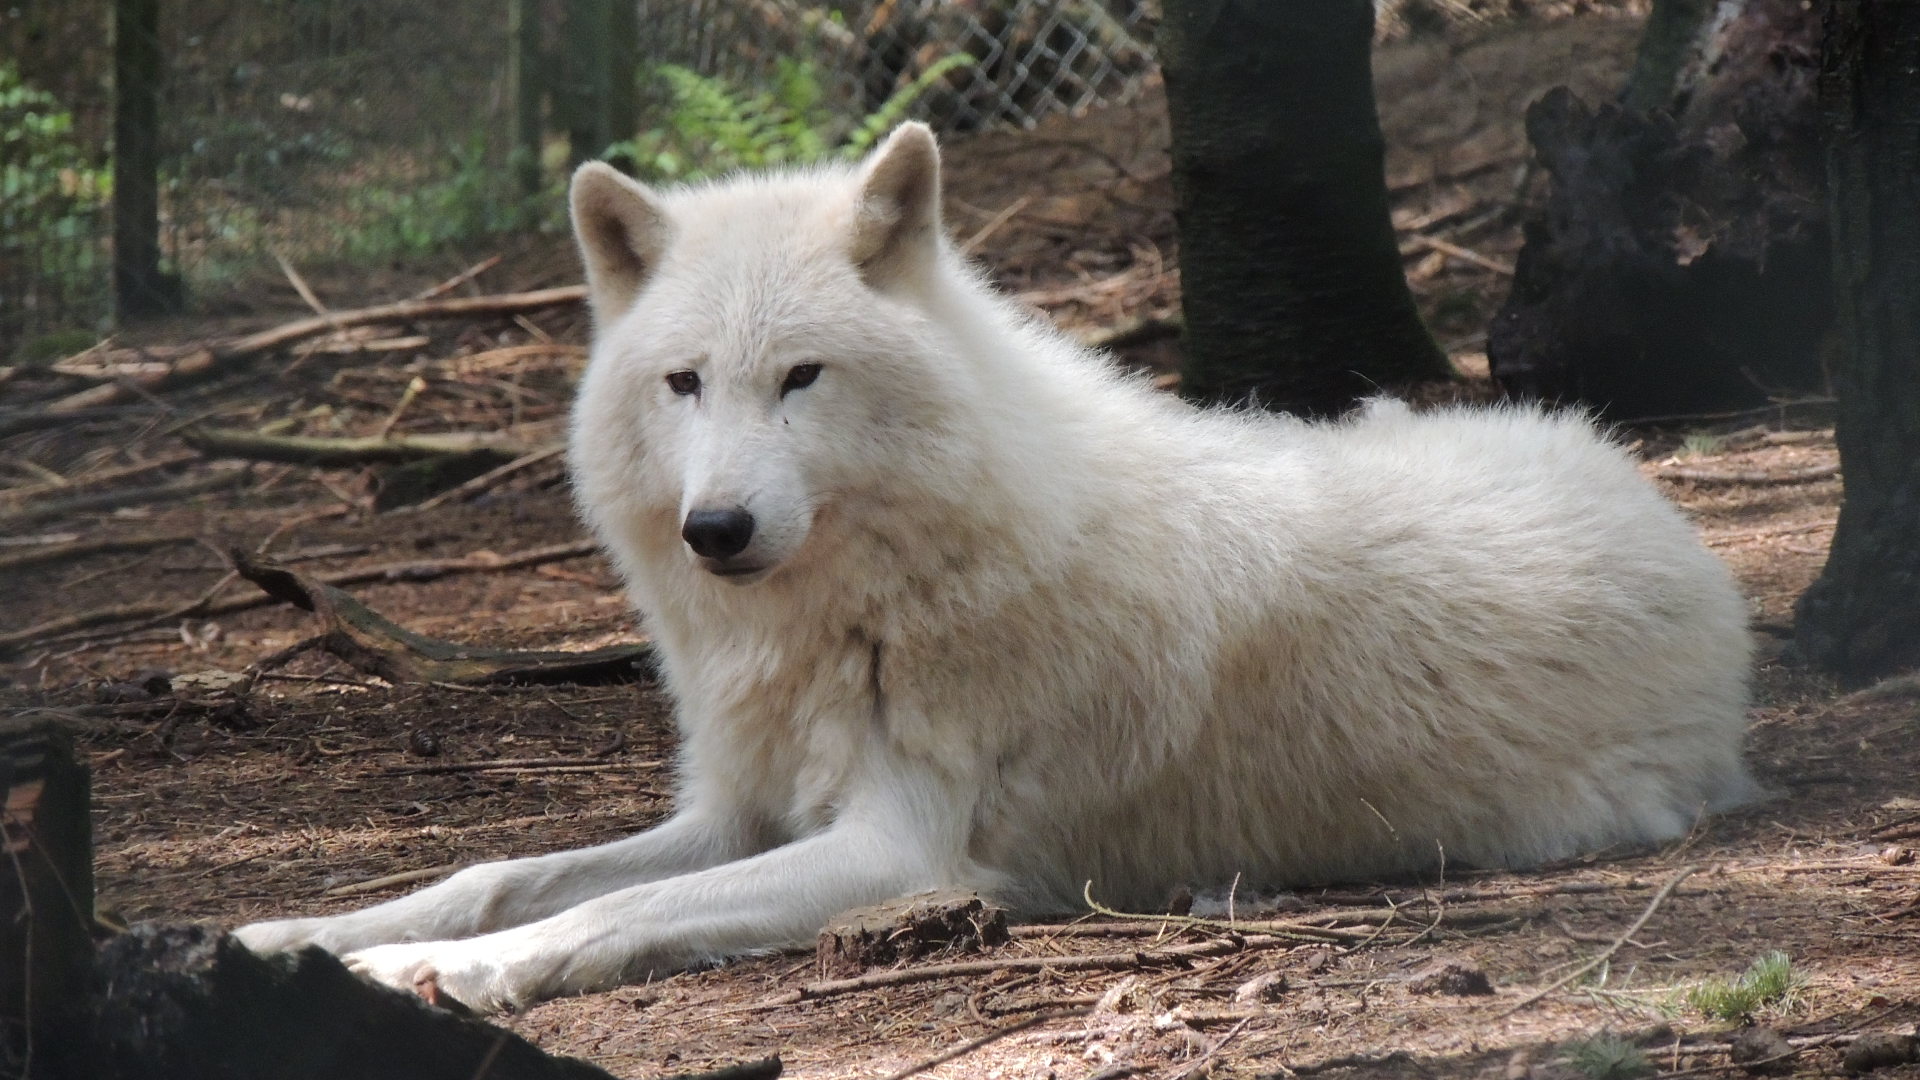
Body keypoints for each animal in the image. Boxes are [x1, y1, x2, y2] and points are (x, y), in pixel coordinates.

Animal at [236, 122, 1758, 1006]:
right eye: (684, 383)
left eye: (801, 378)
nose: (714, 530)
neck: (865, 606)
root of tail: (1645, 491)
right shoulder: (739, 813)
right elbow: (505, 871)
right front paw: (297, 935)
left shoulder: (897, 847)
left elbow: (624, 907)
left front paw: (433, 971)